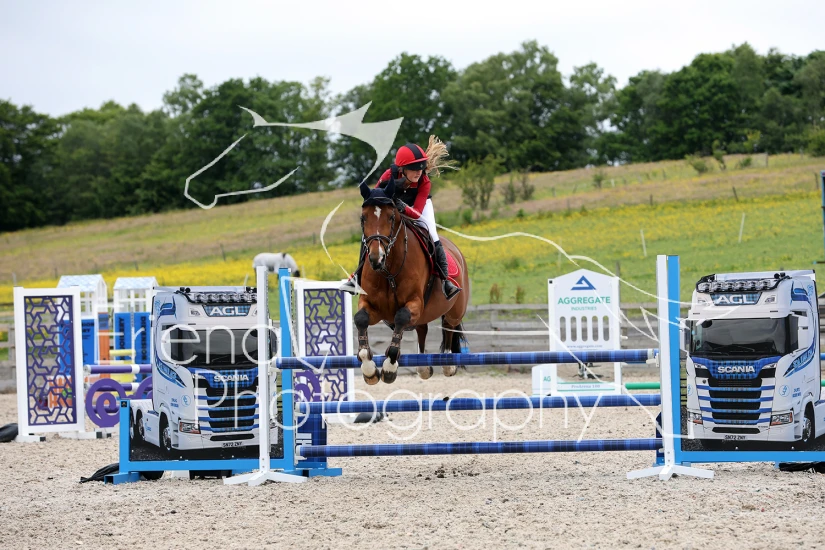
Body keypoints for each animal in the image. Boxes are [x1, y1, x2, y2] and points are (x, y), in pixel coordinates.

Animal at [354, 179, 470, 384]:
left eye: (391, 217)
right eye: (363, 218)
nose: (376, 259)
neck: (389, 271)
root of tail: (456, 250)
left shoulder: (414, 303)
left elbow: (401, 318)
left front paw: (389, 368)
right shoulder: (374, 307)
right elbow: (361, 318)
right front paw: (369, 370)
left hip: (454, 310)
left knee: (449, 326)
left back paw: (448, 364)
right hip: (423, 316)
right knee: (423, 329)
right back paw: (423, 367)